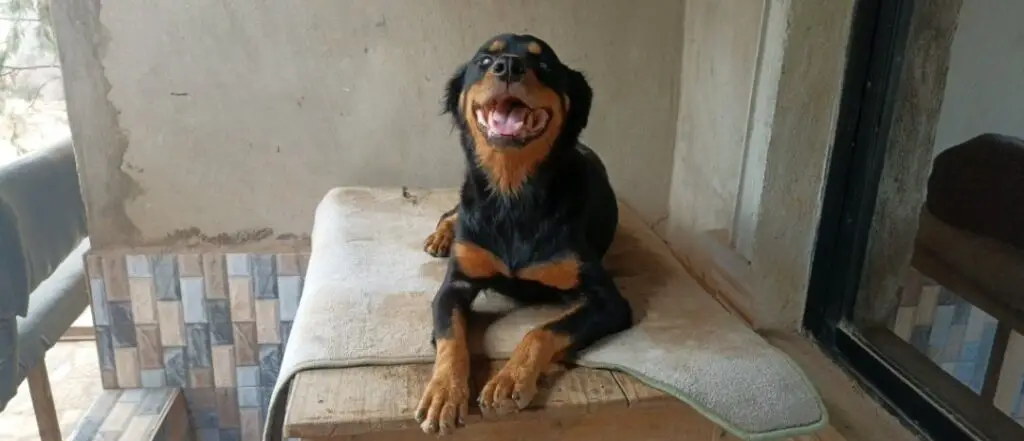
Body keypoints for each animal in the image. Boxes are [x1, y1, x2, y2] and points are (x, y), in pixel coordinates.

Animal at [415, 33, 630, 435]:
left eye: (543, 64)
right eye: (485, 60)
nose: (508, 67)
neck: (512, 196)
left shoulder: (609, 300)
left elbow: (543, 330)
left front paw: (510, 380)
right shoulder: (455, 285)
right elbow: (451, 338)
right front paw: (444, 392)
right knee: (451, 211)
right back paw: (441, 237)